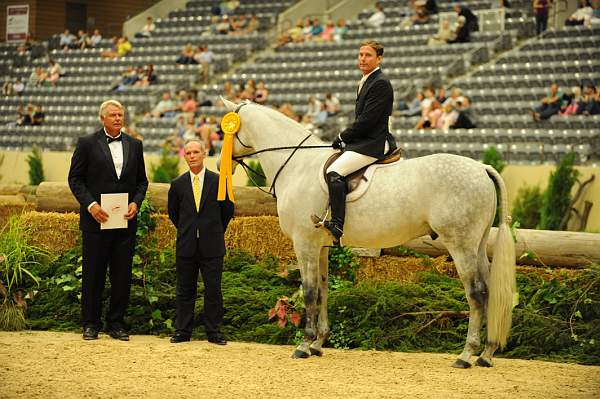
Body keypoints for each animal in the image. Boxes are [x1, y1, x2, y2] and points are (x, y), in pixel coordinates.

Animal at [220, 99, 516, 368]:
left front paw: (304, 345)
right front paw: (318, 343)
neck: (297, 165)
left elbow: (310, 292)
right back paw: (487, 354)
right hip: (477, 246)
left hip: (461, 245)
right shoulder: (320, 246)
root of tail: (481, 168)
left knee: (476, 293)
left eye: (224, 130)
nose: (226, 166)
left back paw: (466, 355)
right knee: (489, 291)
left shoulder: (304, 244)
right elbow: (324, 290)